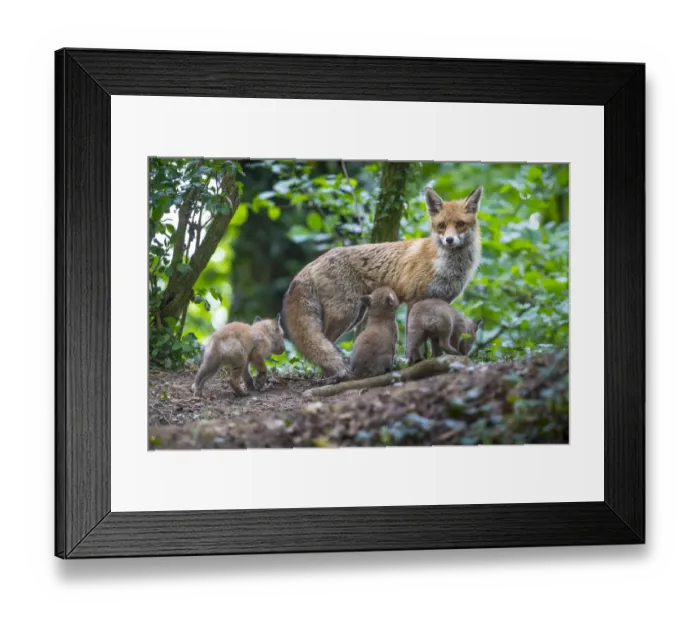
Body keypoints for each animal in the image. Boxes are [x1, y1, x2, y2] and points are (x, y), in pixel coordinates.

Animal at [281, 185, 482, 379]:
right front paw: (415, 363)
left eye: (460, 224)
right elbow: (414, 341)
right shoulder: (415, 301)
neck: (446, 266)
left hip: (356, 314)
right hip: (345, 313)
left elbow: (435, 342)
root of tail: (312, 262)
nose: (449, 240)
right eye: (441, 225)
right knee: (326, 343)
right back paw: (331, 376)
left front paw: (436, 360)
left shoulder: (442, 302)